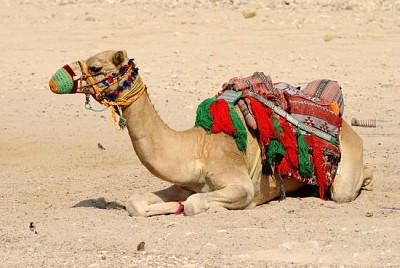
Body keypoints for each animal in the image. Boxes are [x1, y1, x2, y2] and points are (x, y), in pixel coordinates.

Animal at [49, 50, 372, 217]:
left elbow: (194, 204)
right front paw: (167, 207)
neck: (197, 147)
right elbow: (136, 202)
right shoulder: (184, 182)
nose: (55, 80)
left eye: (95, 66)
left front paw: (181, 209)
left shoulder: (241, 185)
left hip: (343, 175)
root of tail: (346, 125)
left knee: (345, 189)